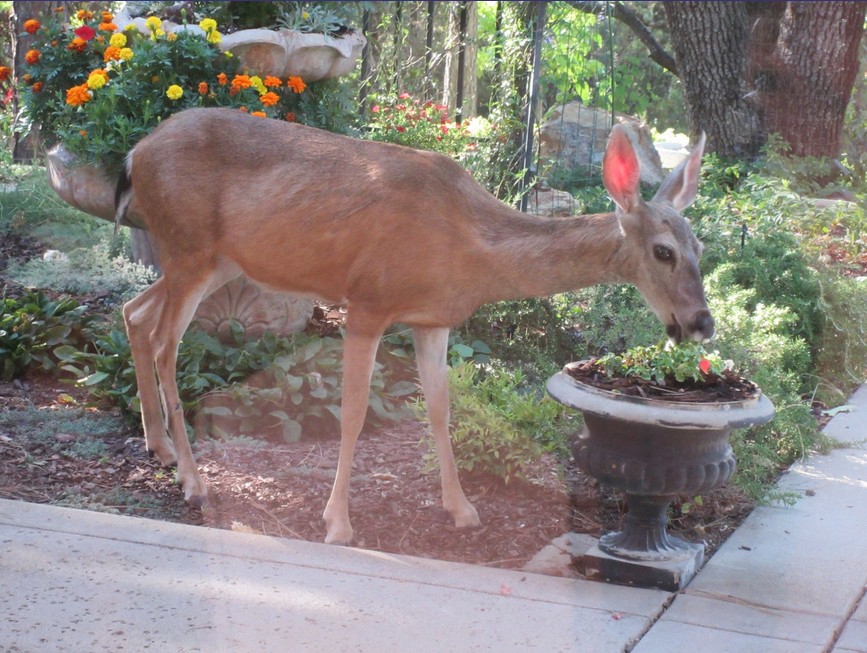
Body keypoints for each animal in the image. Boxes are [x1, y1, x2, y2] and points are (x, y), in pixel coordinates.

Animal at [115, 107, 712, 546]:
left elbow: (441, 409)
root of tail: (134, 152)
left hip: (214, 260)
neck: (471, 248)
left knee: (135, 314)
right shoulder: (367, 302)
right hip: (189, 247)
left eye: (700, 246)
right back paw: (193, 482)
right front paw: (338, 523)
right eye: (662, 251)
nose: (701, 322)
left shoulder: (434, 319)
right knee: (166, 342)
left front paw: (462, 509)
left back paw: (161, 449)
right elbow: (353, 413)